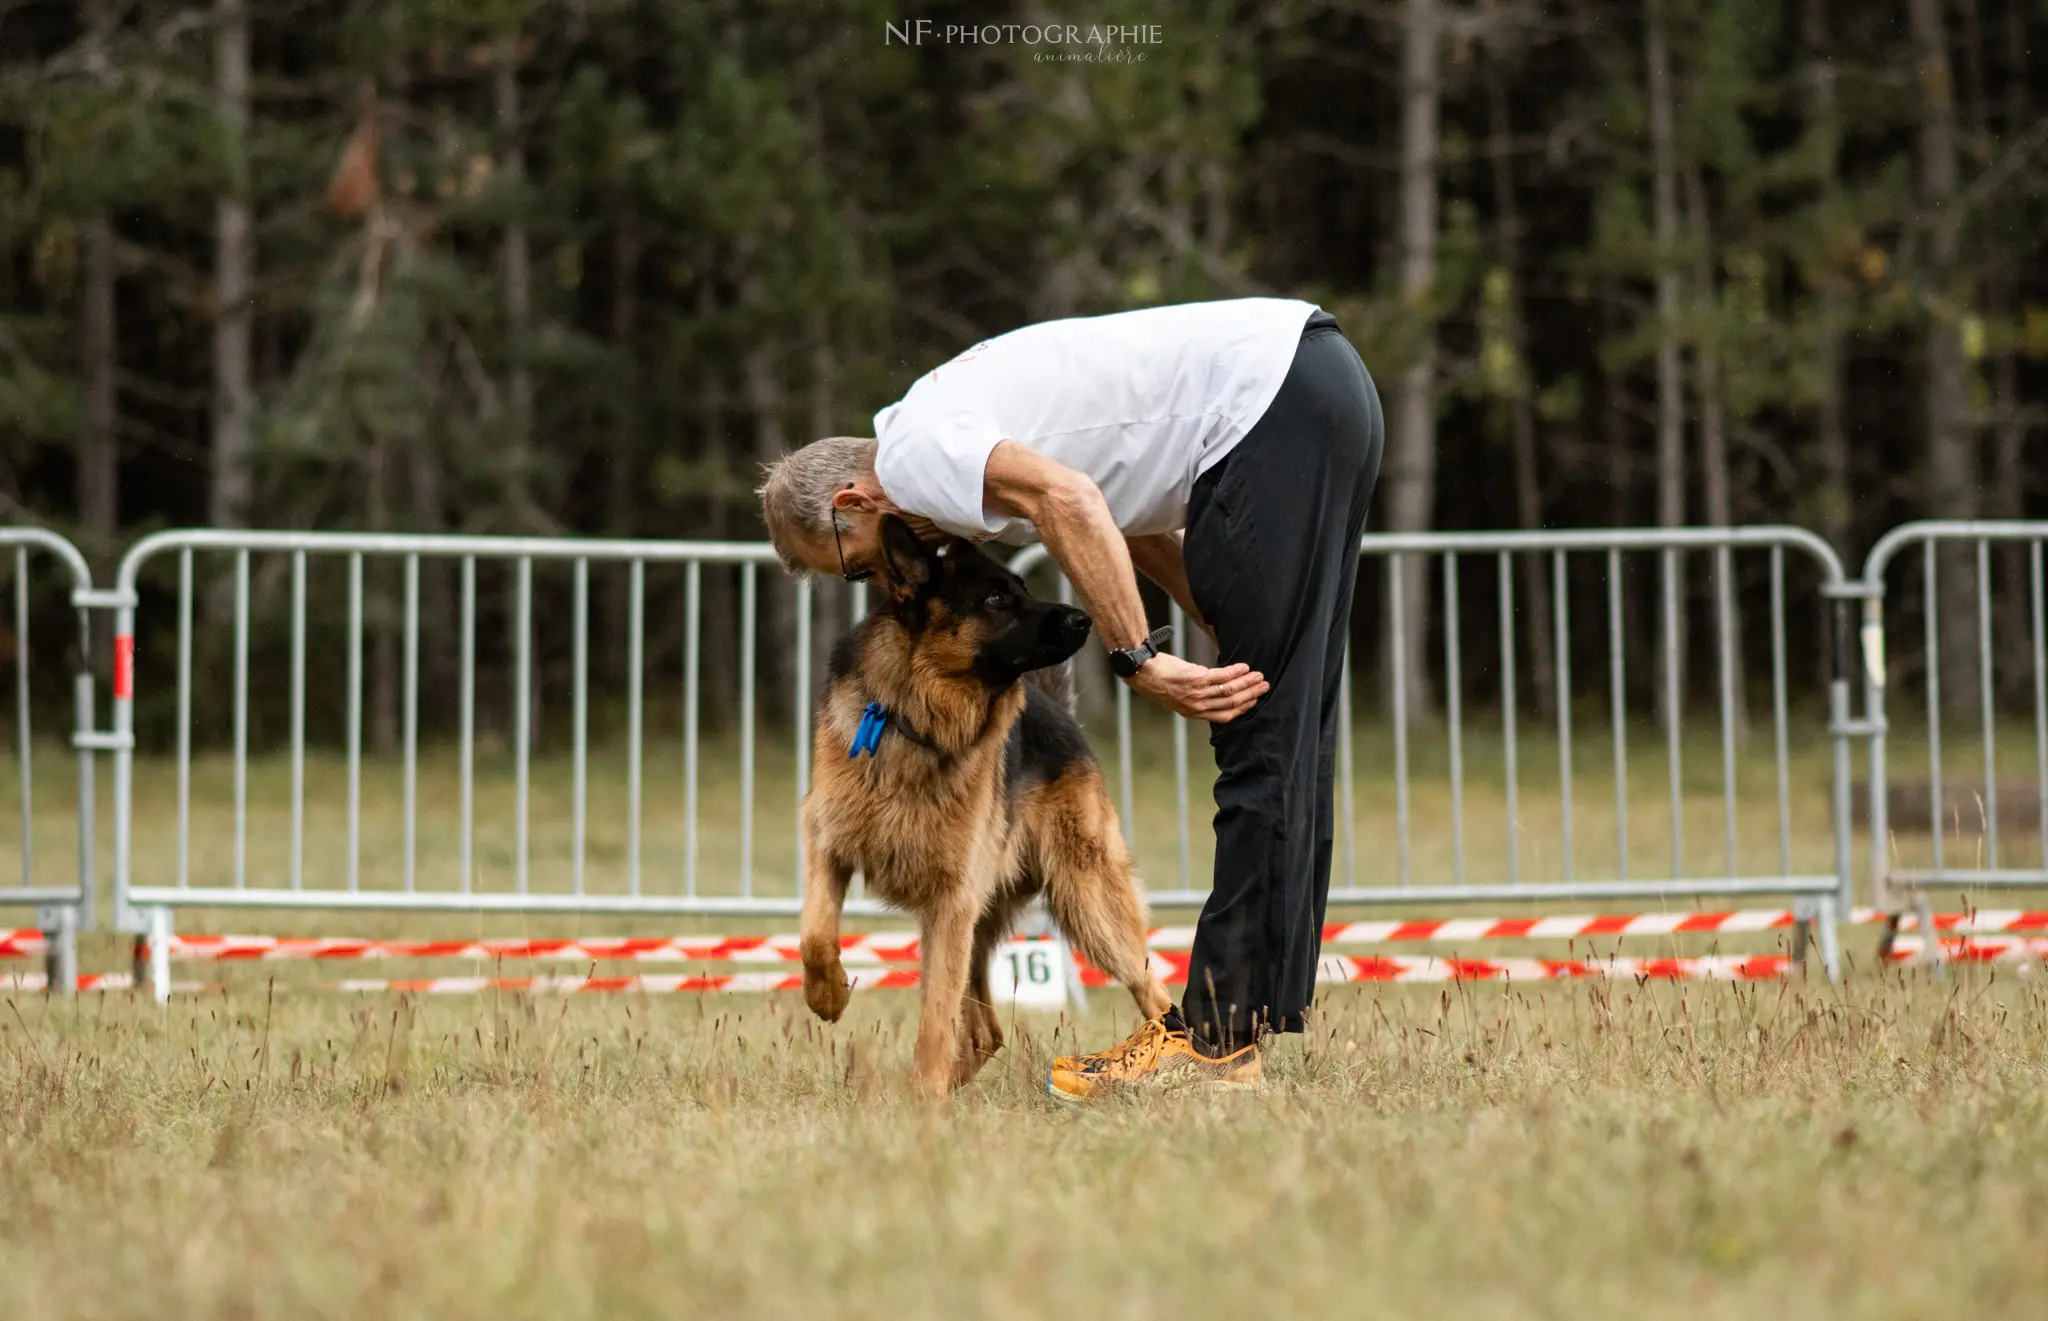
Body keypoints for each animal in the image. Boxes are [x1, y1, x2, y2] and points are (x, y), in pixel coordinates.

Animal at [798, 516, 1171, 1089]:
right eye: (997, 598)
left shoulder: (951, 905)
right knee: (986, 1032)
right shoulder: (826, 842)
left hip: (1089, 905)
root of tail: (1057, 711)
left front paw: (925, 1098)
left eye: (1022, 589)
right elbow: (816, 936)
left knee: (1156, 993)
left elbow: (935, 1015)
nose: (1084, 619)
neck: (916, 720)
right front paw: (829, 996)